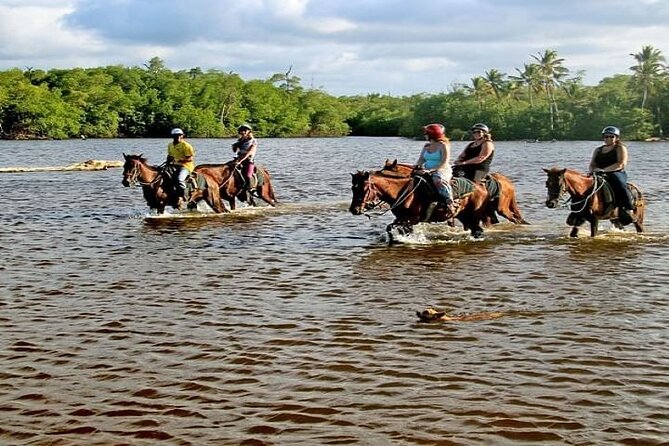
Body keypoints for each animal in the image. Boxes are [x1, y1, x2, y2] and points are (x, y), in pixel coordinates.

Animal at [348, 167, 488, 240]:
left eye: (364, 189)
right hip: (463, 216)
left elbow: (392, 228)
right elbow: (394, 229)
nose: (354, 210)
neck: (402, 192)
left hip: (473, 216)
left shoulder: (411, 219)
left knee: (478, 230)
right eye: (353, 188)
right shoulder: (401, 219)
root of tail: (481, 186)